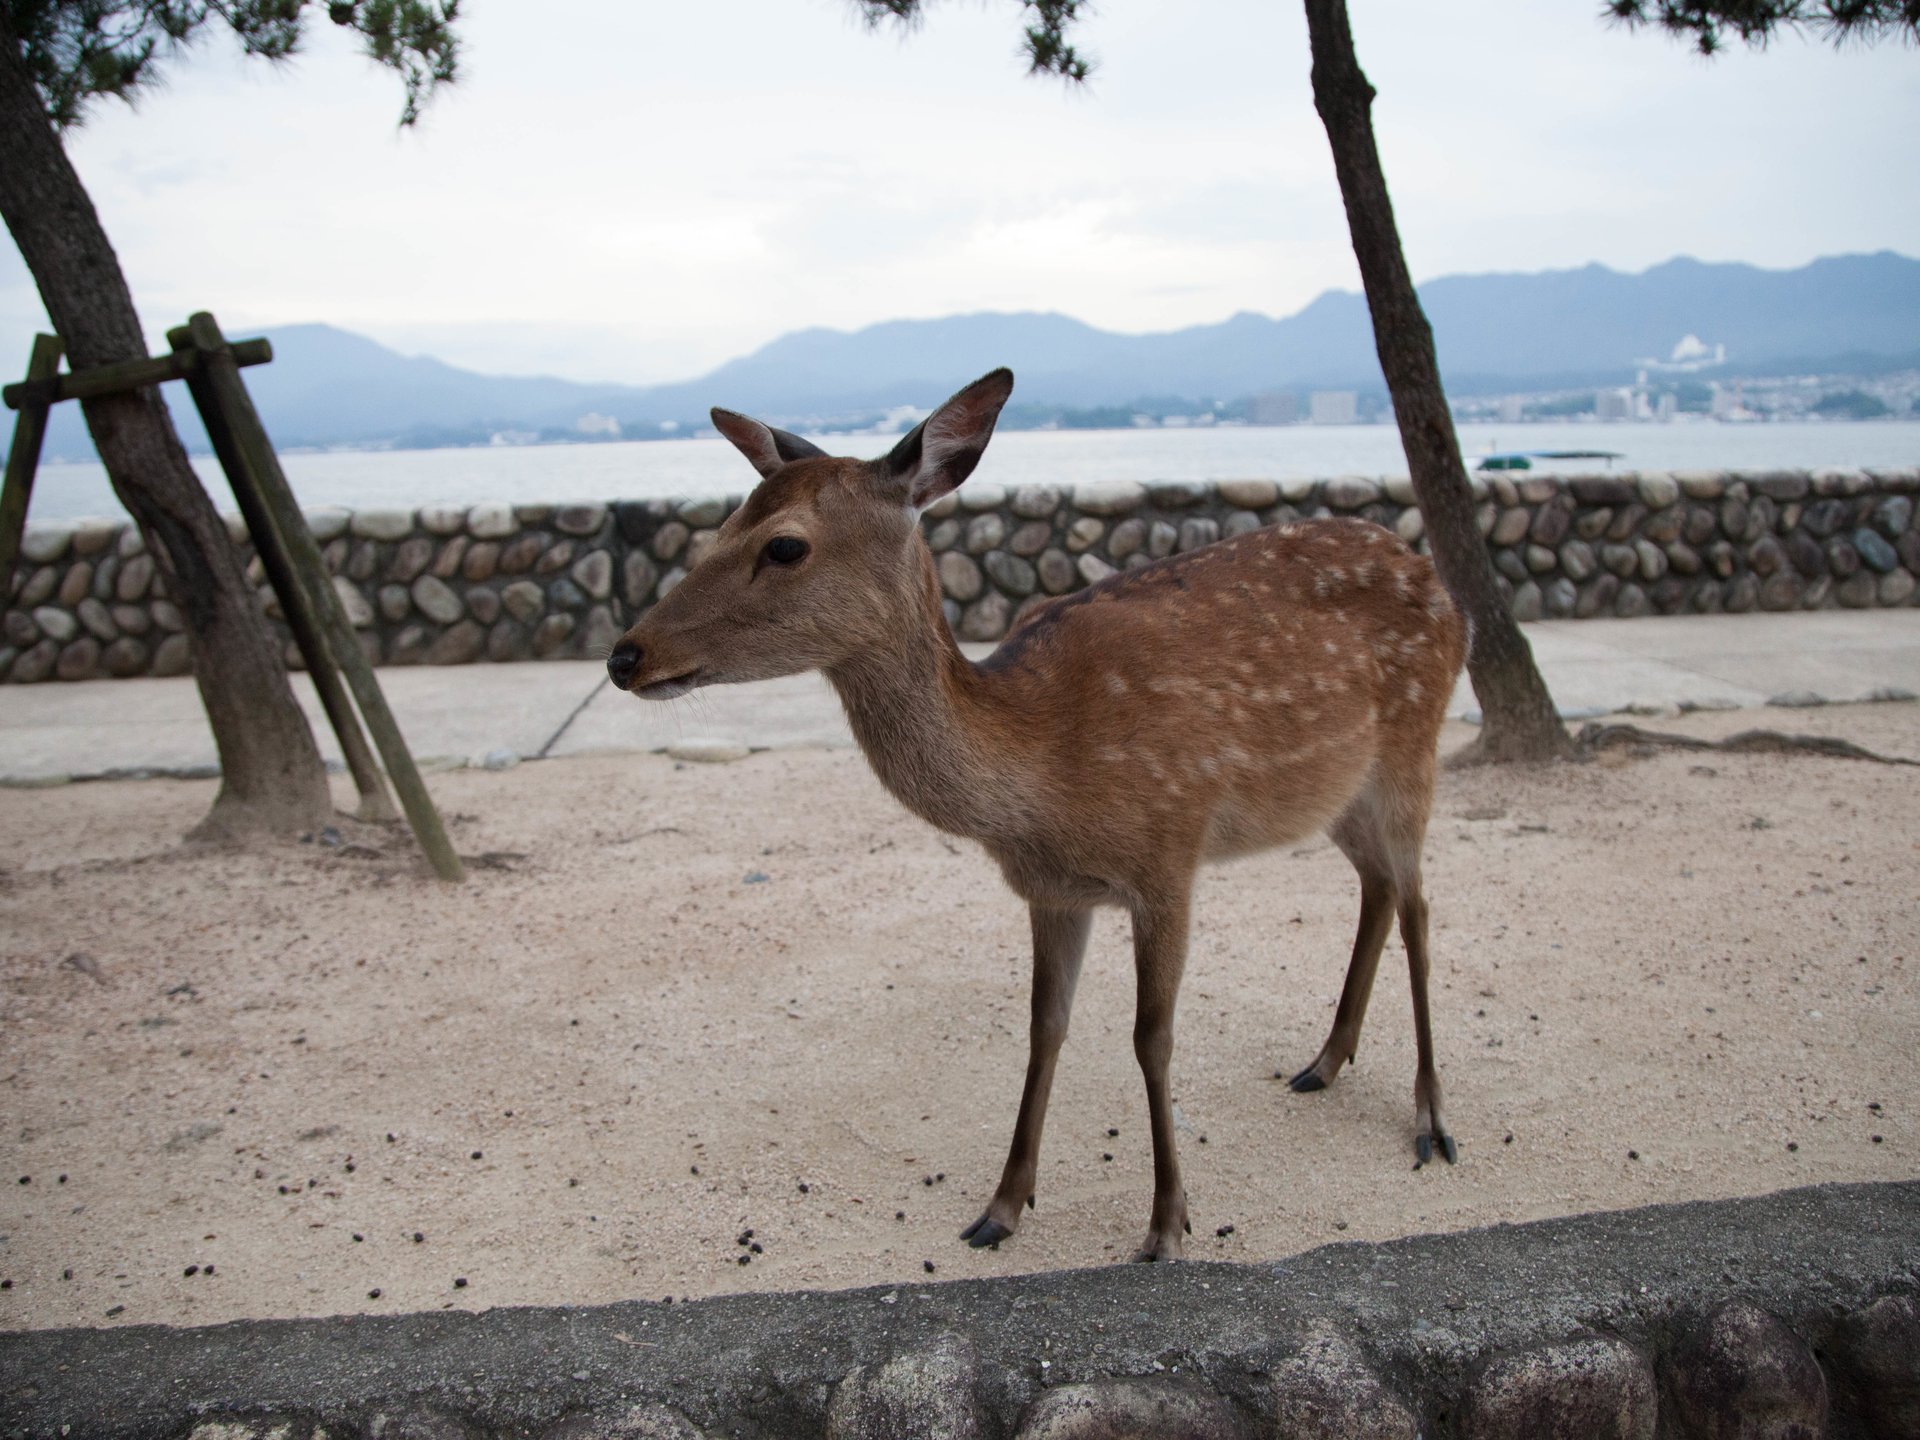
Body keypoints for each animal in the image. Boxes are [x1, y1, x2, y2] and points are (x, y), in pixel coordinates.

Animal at [610, 368, 1466, 1259]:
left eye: (783, 545)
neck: (1046, 776)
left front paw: (1167, 1223)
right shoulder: (1052, 891)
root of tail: (1436, 580)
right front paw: (1002, 1206)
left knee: (1420, 907)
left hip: (1415, 742)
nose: (624, 655)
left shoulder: (1170, 850)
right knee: (1378, 887)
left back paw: (1432, 1119)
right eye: (720, 526)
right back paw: (1324, 1062)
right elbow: (1043, 1027)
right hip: (1336, 792)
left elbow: (1151, 1037)